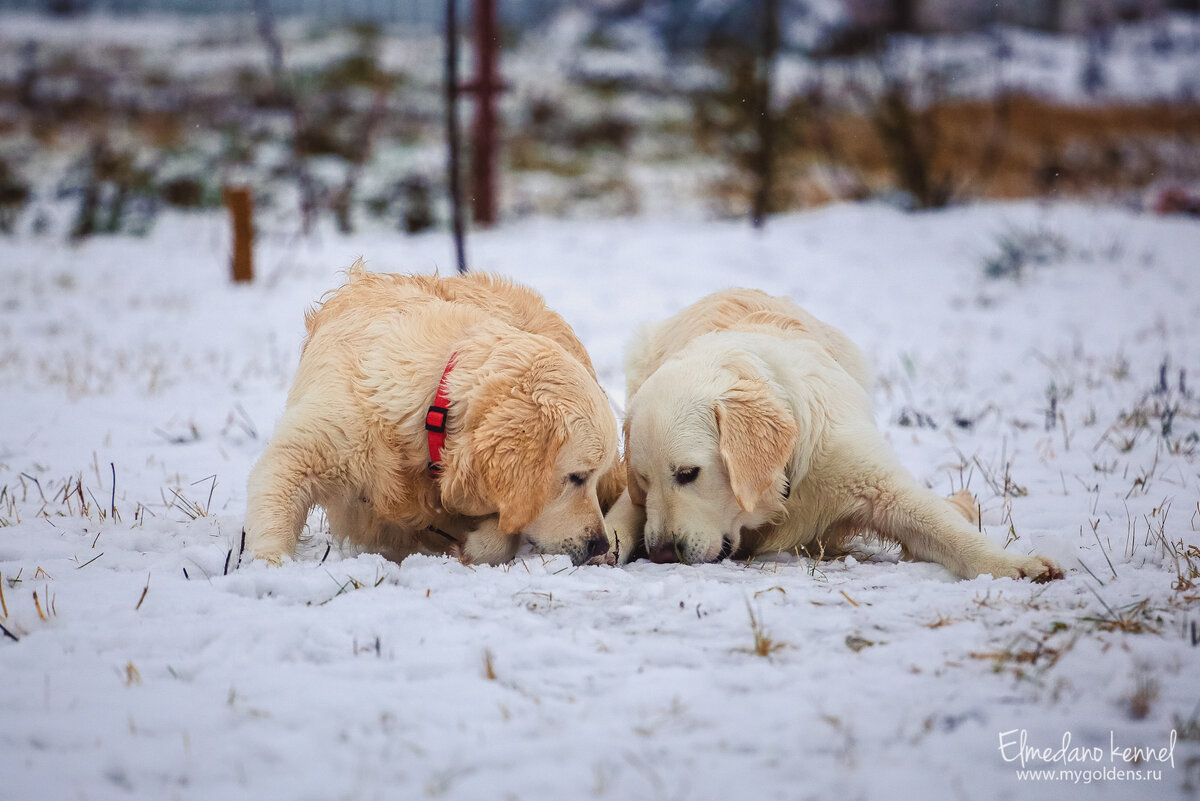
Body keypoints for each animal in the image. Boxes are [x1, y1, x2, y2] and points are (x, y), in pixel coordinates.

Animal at [241, 266, 619, 565]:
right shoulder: (308, 447)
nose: (600, 544)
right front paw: (272, 567)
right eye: (577, 477)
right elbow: (276, 497)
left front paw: (475, 544)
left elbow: (502, 534)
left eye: (592, 478)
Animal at [604, 288, 1065, 582]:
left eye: (688, 474)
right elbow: (623, 514)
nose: (662, 554)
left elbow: (943, 527)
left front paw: (1012, 566)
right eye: (644, 482)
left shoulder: (873, 480)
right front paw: (607, 541)